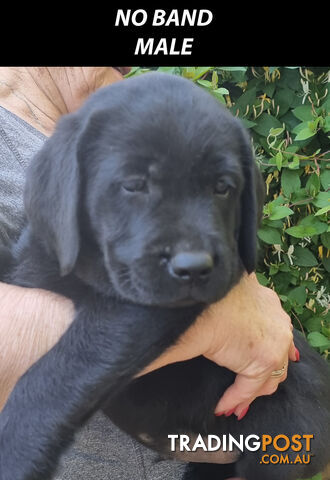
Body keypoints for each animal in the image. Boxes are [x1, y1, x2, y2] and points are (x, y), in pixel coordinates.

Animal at [0, 72, 330, 480]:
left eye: (223, 187)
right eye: (134, 184)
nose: (194, 267)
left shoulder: (137, 310)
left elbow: (64, 367)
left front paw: (17, 450)